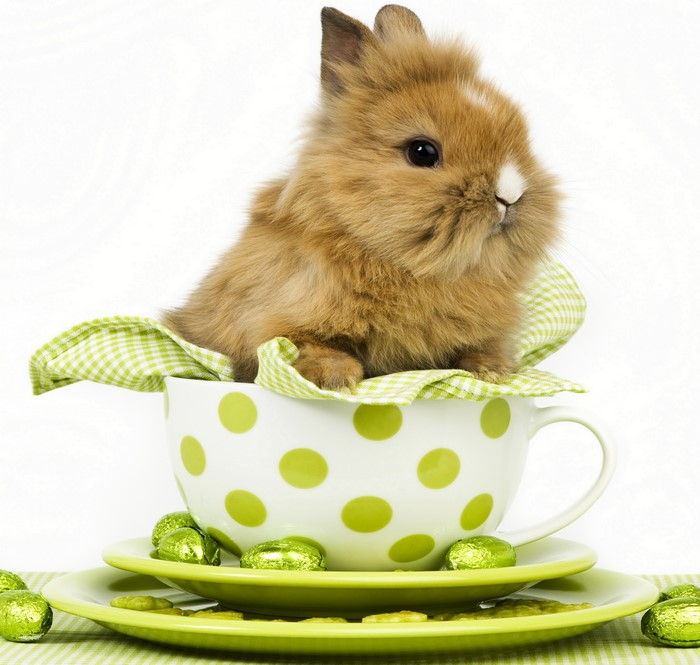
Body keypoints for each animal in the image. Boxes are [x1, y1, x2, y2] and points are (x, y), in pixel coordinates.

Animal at [164, 5, 561, 391]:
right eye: (422, 152)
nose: (510, 195)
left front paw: (492, 371)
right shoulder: (274, 319)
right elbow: (303, 343)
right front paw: (335, 378)